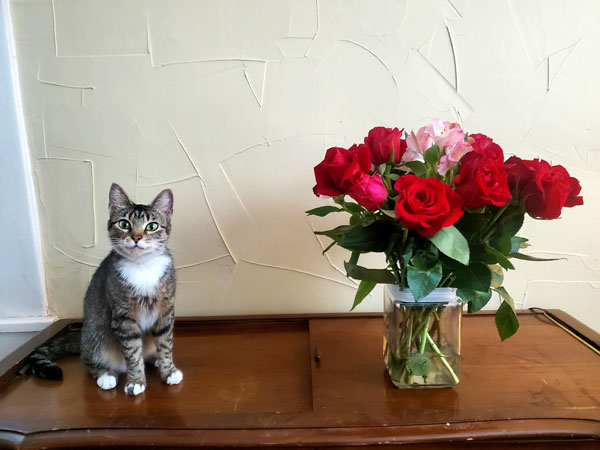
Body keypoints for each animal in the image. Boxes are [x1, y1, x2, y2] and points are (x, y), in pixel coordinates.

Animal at [28, 182, 183, 394]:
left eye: (152, 226)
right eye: (124, 224)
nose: (136, 237)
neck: (142, 267)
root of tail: (81, 339)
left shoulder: (165, 311)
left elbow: (165, 344)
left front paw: (169, 371)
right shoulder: (123, 316)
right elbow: (132, 352)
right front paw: (136, 381)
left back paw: (155, 360)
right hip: (96, 337)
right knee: (88, 361)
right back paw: (105, 375)